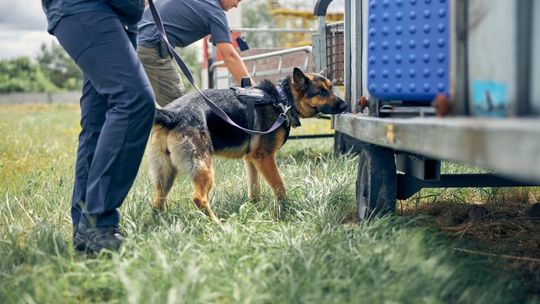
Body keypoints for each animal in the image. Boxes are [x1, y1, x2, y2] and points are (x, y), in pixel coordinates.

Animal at [148, 67, 346, 222]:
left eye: (331, 89)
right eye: (321, 92)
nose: (344, 106)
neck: (282, 100)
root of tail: (172, 114)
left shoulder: (251, 160)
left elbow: (254, 191)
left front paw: (256, 211)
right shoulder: (265, 157)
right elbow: (280, 187)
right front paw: (286, 211)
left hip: (167, 174)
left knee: (157, 201)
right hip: (204, 167)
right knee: (199, 198)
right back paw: (219, 226)